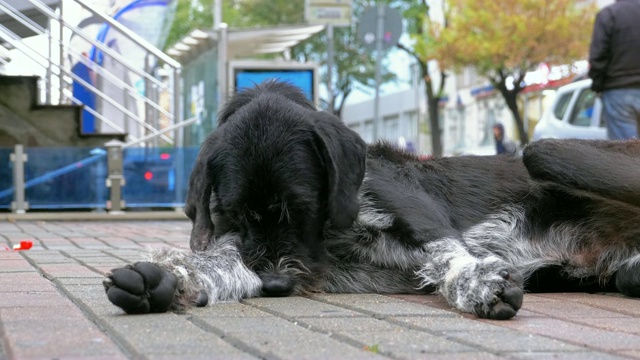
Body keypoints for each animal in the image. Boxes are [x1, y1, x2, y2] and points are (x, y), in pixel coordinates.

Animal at [102, 80, 640, 320]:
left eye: (304, 207)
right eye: (232, 214)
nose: (274, 284)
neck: (332, 233)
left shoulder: (416, 211)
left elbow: (447, 252)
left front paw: (475, 283)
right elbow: (229, 264)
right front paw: (168, 278)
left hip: (544, 151)